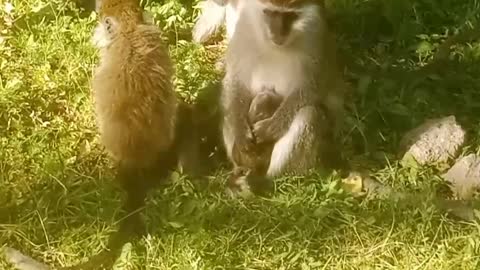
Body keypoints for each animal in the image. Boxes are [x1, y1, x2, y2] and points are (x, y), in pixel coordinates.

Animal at [221, 0, 348, 192]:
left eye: (290, 16)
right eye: (271, 13)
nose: (278, 33)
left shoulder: (316, 39)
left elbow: (310, 88)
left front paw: (270, 128)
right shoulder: (242, 31)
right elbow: (235, 80)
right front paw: (240, 132)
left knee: (309, 114)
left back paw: (268, 180)